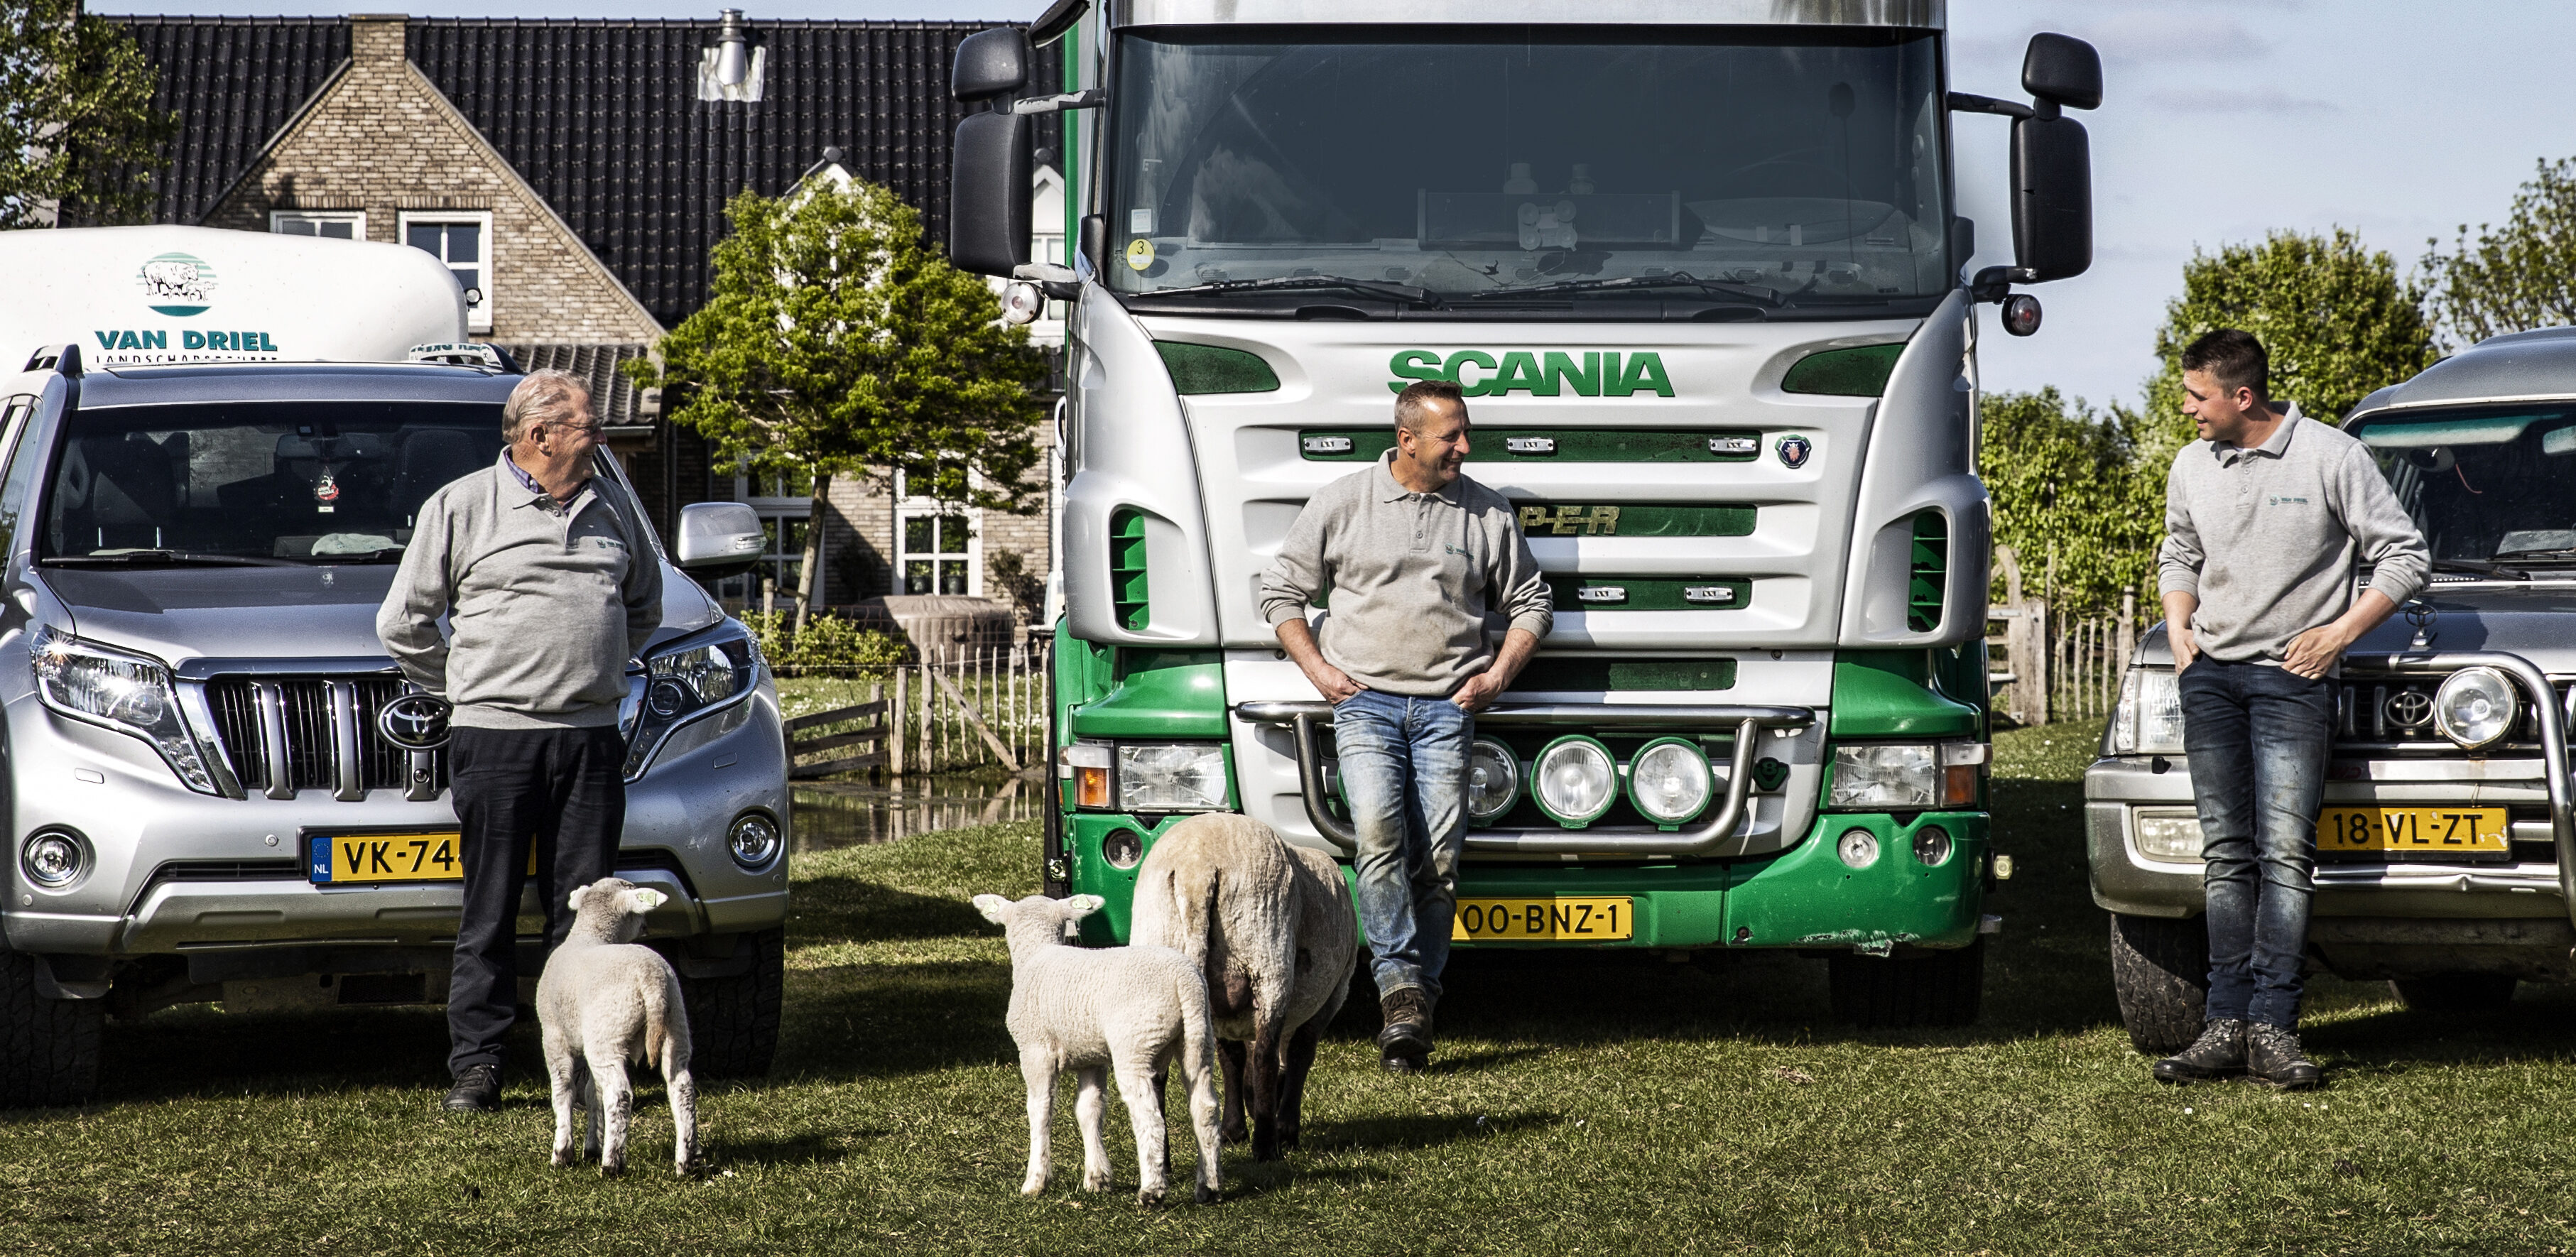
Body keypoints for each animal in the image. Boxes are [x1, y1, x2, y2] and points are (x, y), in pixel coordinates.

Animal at [536, 876, 695, 1180]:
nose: (647, 925)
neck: (591, 934)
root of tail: (651, 978)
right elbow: (592, 1093)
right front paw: (591, 1146)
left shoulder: (554, 1035)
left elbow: (563, 1090)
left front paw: (562, 1153)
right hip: (675, 1022)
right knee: (681, 1087)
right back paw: (687, 1161)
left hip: (608, 1032)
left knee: (619, 1094)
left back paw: (612, 1162)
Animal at [979, 891, 1231, 1205]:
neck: (1036, 953)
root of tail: (1185, 981)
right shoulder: (1091, 1057)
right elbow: (1089, 1109)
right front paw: (1097, 1178)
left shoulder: (1036, 1050)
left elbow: (1040, 1109)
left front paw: (1035, 1181)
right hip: (1200, 1038)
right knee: (1205, 1108)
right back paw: (1208, 1187)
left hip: (1134, 1044)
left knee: (1149, 1116)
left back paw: (1152, 1191)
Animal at [1133, 814, 1360, 1159]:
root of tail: (1195, 870)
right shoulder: (1335, 994)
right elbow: (1298, 1055)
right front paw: (1286, 1129)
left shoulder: (1222, 1014)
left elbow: (1232, 1059)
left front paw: (1232, 1129)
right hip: (1267, 955)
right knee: (1266, 1055)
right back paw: (1266, 1147)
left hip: (1159, 949)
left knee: (1157, 1069)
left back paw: (1163, 1158)